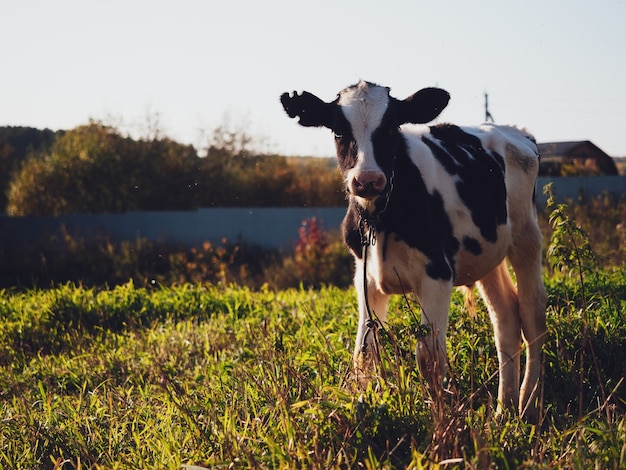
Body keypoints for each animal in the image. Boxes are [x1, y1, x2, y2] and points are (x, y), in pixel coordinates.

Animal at [280, 79, 544, 420]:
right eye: (338, 130)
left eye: (392, 126)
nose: (367, 180)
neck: (381, 218)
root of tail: (516, 132)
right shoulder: (365, 278)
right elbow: (364, 353)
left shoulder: (437, 275)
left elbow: (429, 358)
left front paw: (441, 424)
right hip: (489, 254)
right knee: (506, 318)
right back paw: (503, 410)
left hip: (526, 236)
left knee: (532, 314)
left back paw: (530, 404)